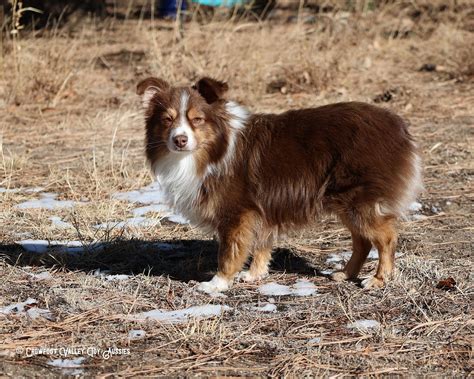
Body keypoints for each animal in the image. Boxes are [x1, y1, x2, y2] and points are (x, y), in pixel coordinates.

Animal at [136, 75, 422, 292]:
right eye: (167, 119)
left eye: (197, 119)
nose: (179, 140)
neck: (213, 148)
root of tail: (397, 125)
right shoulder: (261, 208)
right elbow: (261, 244)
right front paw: (255, 274)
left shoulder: (237, 212)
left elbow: (229, 253)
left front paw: (217, 283)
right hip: (346, 202)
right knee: (362, 242)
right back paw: (345, 273)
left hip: (359, 201)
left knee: (386, 238)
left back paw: (378, 279)